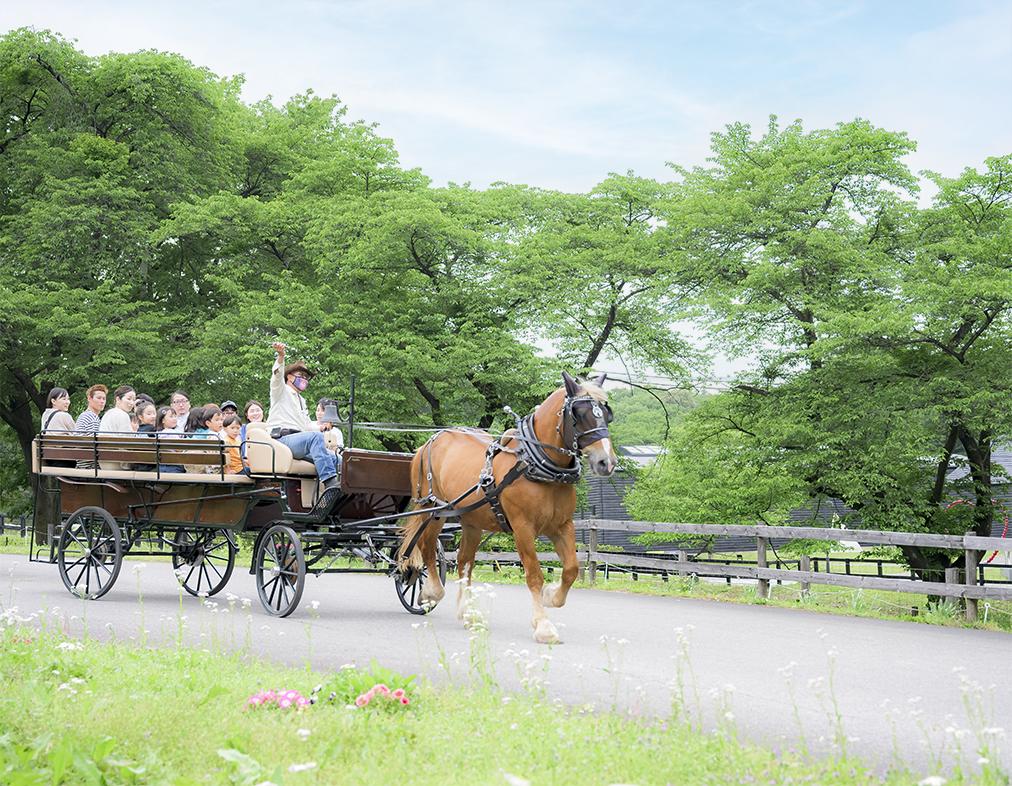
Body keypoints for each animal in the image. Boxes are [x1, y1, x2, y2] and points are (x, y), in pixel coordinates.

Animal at [398, 372, 617, 643]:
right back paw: (432, 592)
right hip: (433, 509)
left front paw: (551, 596)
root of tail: (430, 441)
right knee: (427, 547)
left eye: (606, 414)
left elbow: (571, 569)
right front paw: (543, 625)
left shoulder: (562, 526)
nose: (607, 462)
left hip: (470, 520)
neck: (536, 464)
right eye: (578, 414)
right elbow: (534, 575)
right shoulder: (523, 529)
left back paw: (469, 614)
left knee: (464, 563)